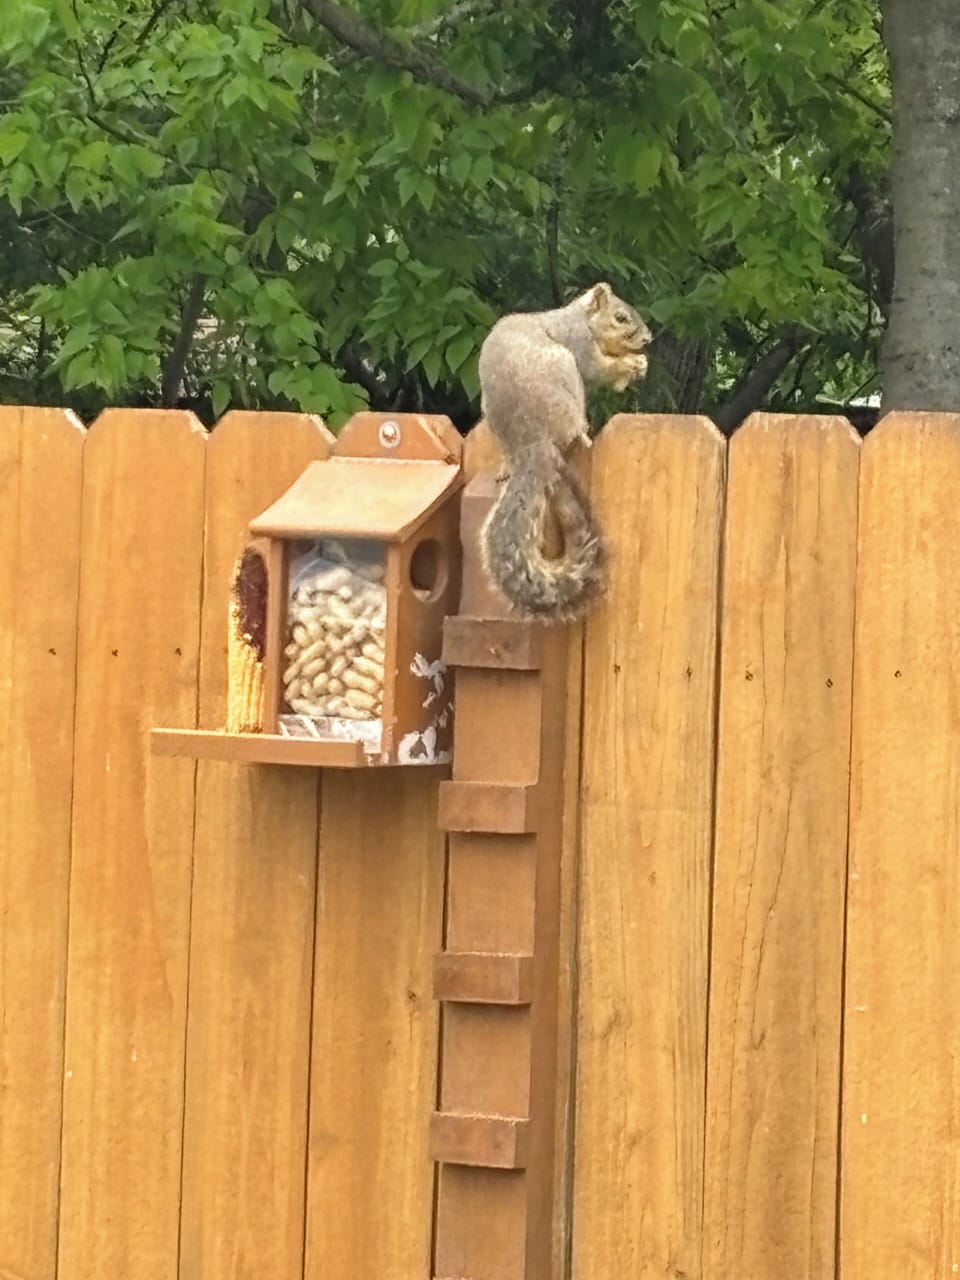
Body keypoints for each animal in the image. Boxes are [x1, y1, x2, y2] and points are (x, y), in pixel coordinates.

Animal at [477, 282, 651, 622]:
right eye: (621, 317)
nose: (648, 339)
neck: (579, 319)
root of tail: (531, 442)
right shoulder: (580, 347)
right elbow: (599, 369)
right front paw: (633, 364)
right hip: (566, 373)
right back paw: (584, 434)